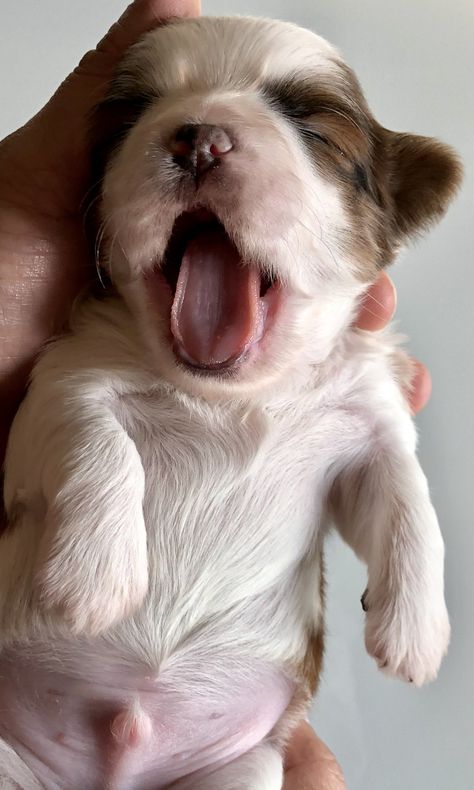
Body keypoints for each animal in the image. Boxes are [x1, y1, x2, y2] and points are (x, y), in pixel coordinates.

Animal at [0, 13, 460, 790]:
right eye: (130, 116)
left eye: (312, 128)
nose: (198, 137)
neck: (234, 393)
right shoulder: (62, 373)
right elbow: (95, 437)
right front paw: (95, 580)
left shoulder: (368, 422)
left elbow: (407, 504)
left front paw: (416, 632)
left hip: (236, 768)